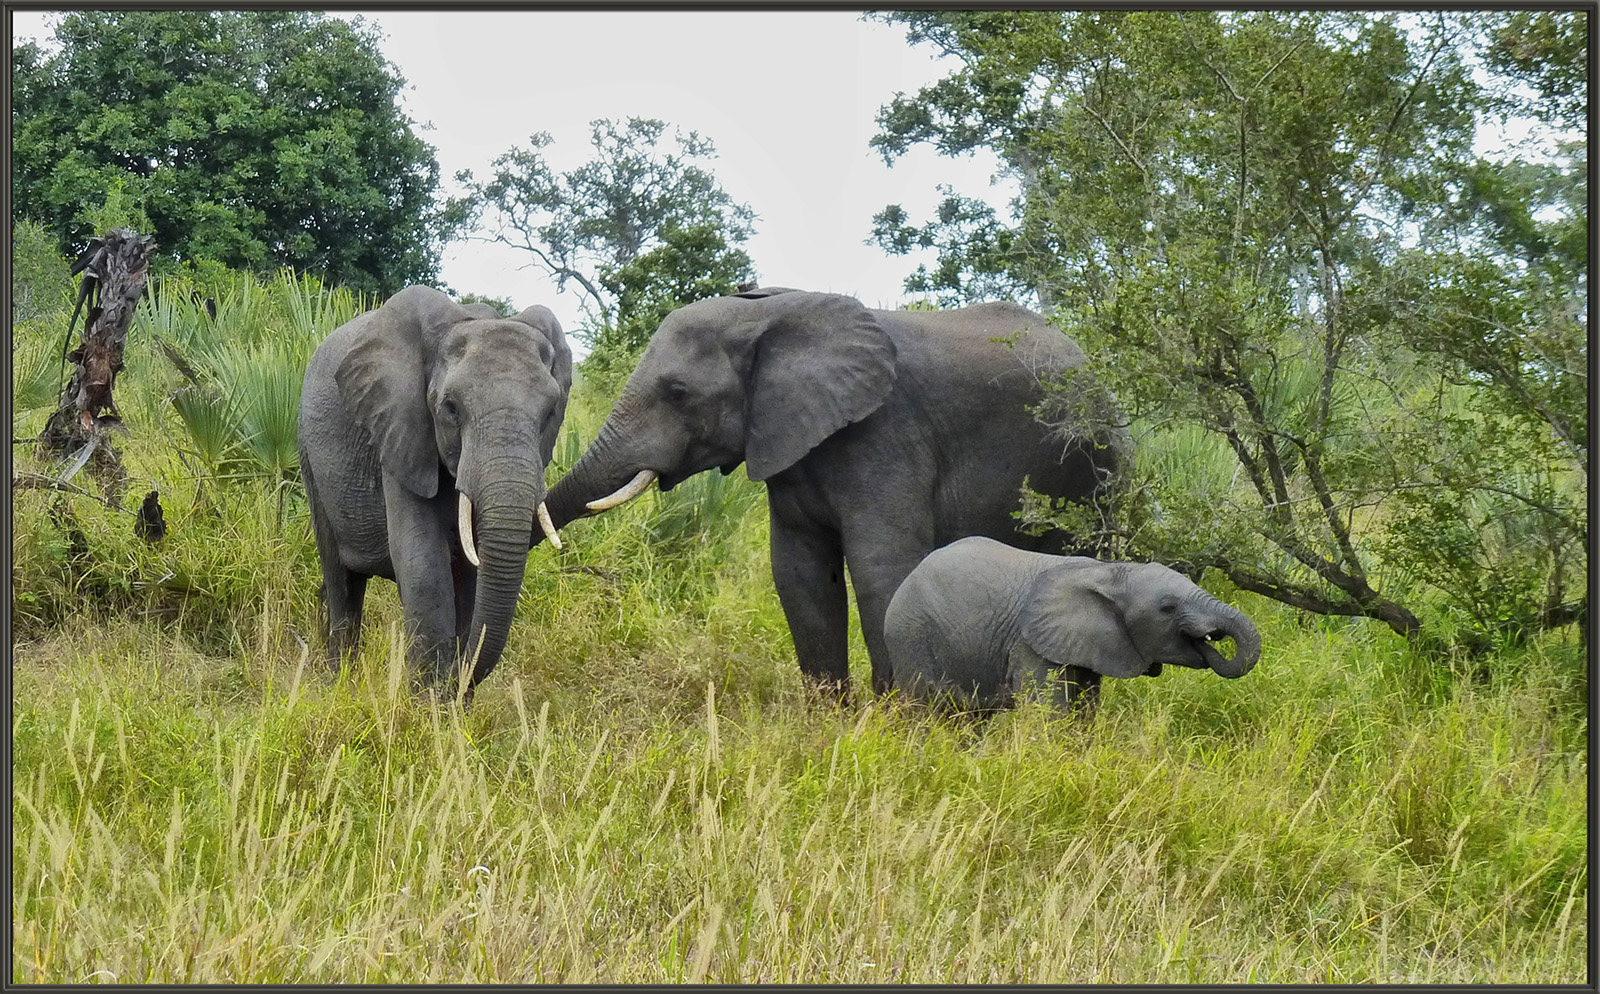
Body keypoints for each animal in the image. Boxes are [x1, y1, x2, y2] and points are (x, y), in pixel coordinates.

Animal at [298, 285, 572, 693]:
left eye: (551, 411)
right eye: (451, 408)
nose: (457, 682)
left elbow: (472, 575)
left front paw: (450, 703)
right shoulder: (400, 428)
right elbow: (424, 564)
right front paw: (424, 702)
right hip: (309, 454)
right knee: (341, 579)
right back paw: (338, 682)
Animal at [538, 286, 1128, 698]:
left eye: (678, 392)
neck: (769, 311)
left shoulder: (885, 433)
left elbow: (882, 569)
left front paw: (893, 721)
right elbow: (799, 575)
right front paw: (830, 721)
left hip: (1095, 466)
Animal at [884, 536, 1262, 716]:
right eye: (1168, 608)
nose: (1213, 639)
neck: (1110, 571)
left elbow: (1085, 713)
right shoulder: (1031, 646)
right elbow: (1048, 715)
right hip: (910, 636)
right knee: (925, 712)